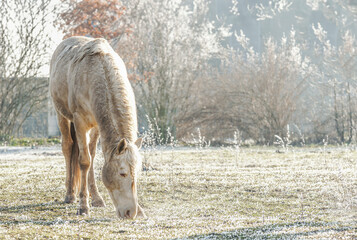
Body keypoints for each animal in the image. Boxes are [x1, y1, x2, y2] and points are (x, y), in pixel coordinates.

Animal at [49, 36, 144, 218]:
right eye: (122, 173)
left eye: (138, 172)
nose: (130, 212)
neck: (96, 74)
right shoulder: (80, 121)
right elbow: (84, 161)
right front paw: (83, 206)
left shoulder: (97, 126)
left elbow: (91, 158)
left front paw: (97, 199)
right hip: (61, 115)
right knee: (68, 148)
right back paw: (70, 194)